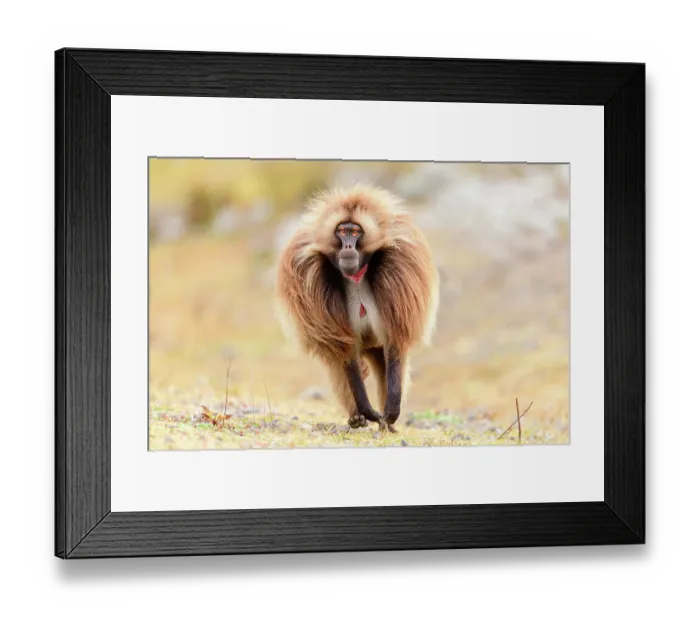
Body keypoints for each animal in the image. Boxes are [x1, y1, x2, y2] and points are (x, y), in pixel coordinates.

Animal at [275, 184, 439, 433]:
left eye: (355, 232)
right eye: (342, 231)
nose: (348, 246)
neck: (356, 275)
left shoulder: (401, 269)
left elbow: (395, 341)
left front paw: (391, 409)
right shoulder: (308, 278)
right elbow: (345, 352)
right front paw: (367, 411)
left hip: (377, 347)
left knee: (388, 364)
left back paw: (387, 424)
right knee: (339, 366)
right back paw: (357, 418)